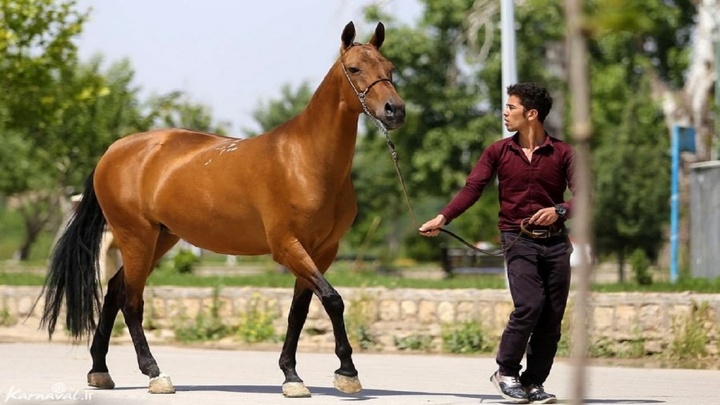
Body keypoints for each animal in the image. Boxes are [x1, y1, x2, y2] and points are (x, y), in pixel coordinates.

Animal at [38, 20, 404, 396]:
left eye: (389, 67)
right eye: (354, 68)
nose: (395, 110)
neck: (305, 160)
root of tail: (114, 151)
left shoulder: (322, 251)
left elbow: (298, 312)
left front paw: (292, 375)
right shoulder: (288, 246)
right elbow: (332, 299)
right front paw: (347, 372)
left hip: (161, 239)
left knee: (114, 291)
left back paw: (99, 370)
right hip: (136, 236)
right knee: (132, 300)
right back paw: (155, 373)